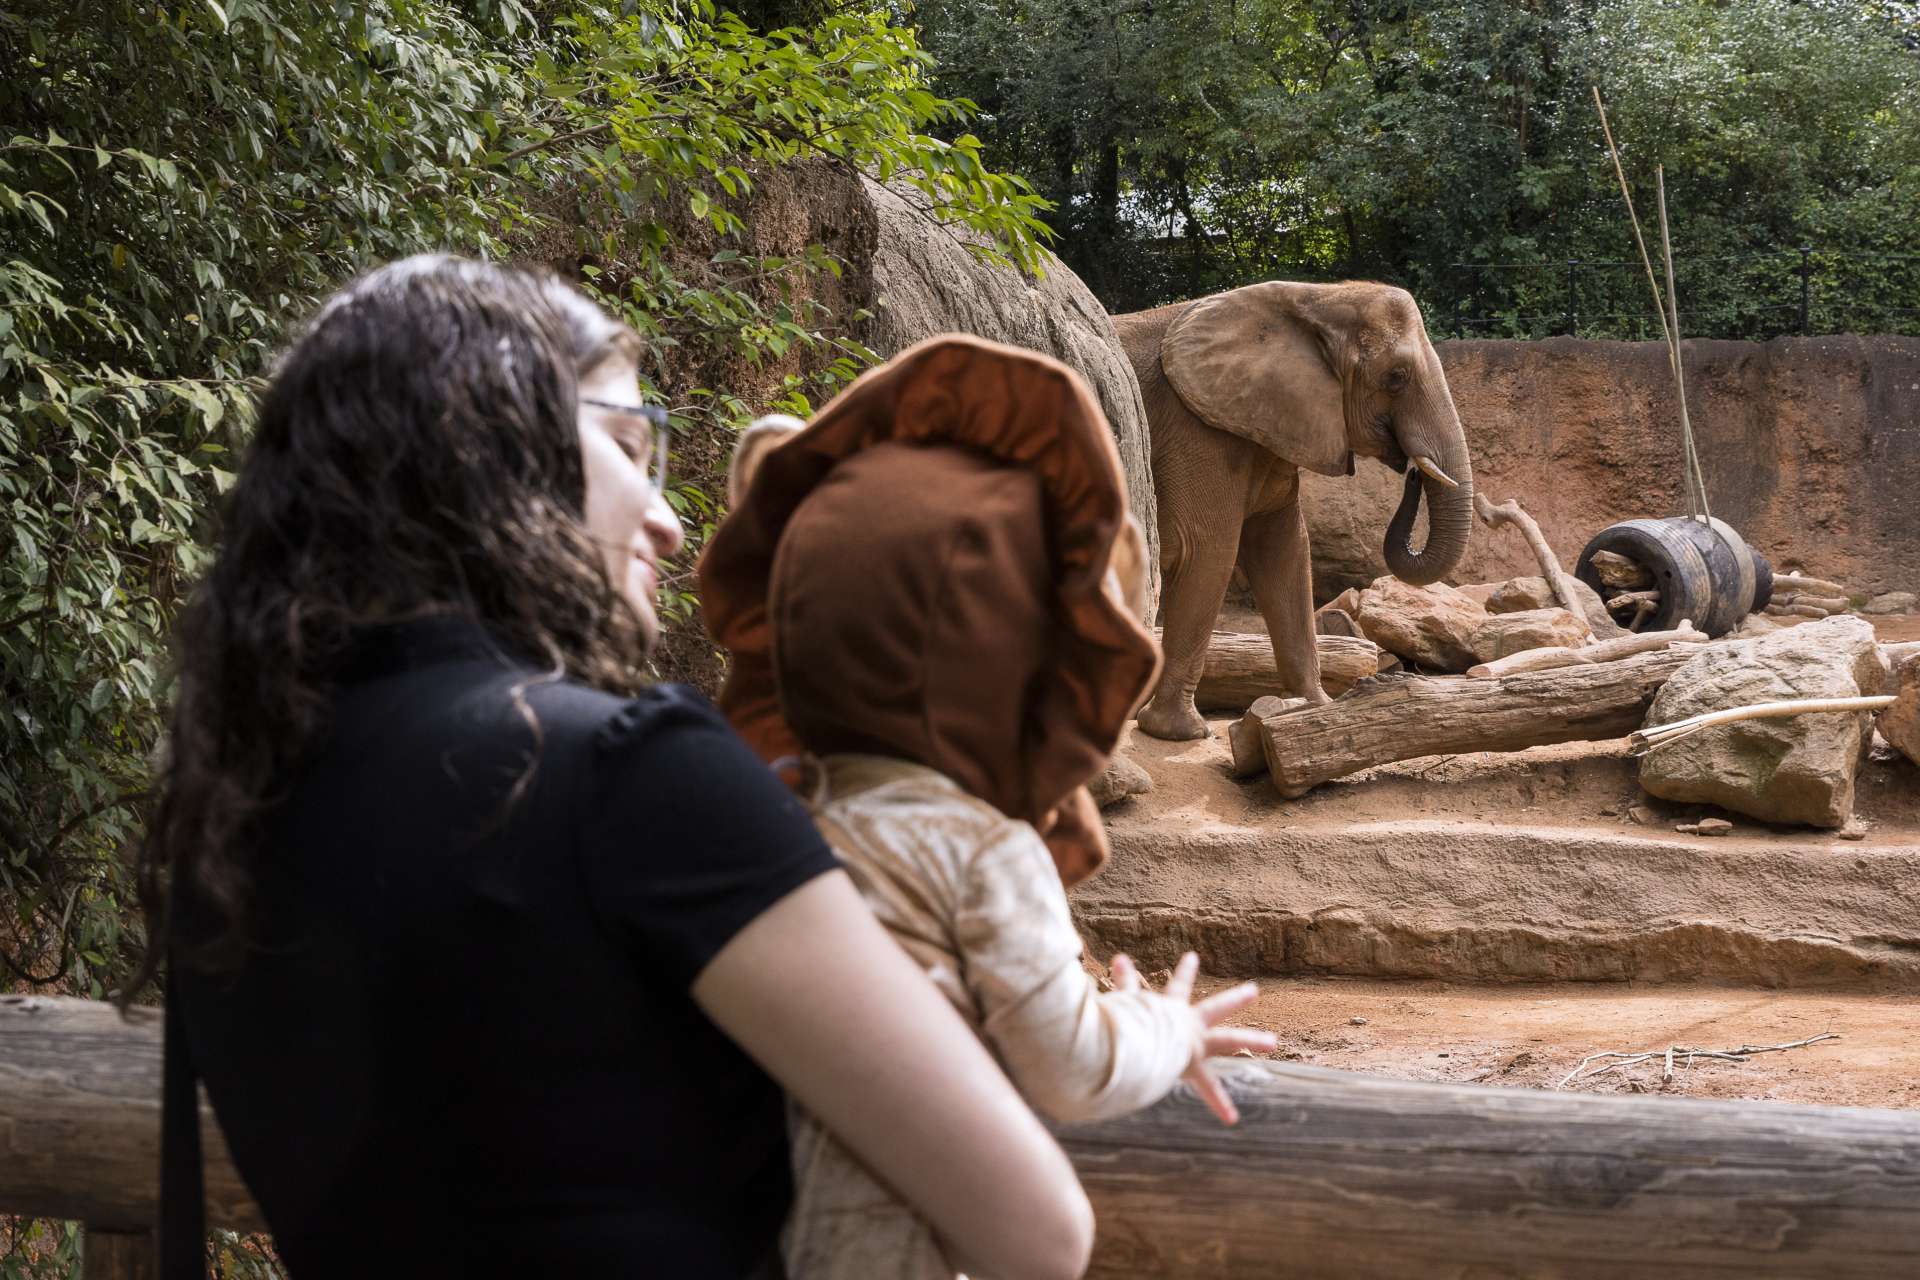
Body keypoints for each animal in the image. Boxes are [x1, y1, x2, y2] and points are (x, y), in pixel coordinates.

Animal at [1121, 280, 1474, 740]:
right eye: (1396, 378)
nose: (1414, 472)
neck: (1314, 296)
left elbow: (1284, 551)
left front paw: (1313, 708)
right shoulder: (1196, 429)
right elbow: (1207, 550)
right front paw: (1179, 732)